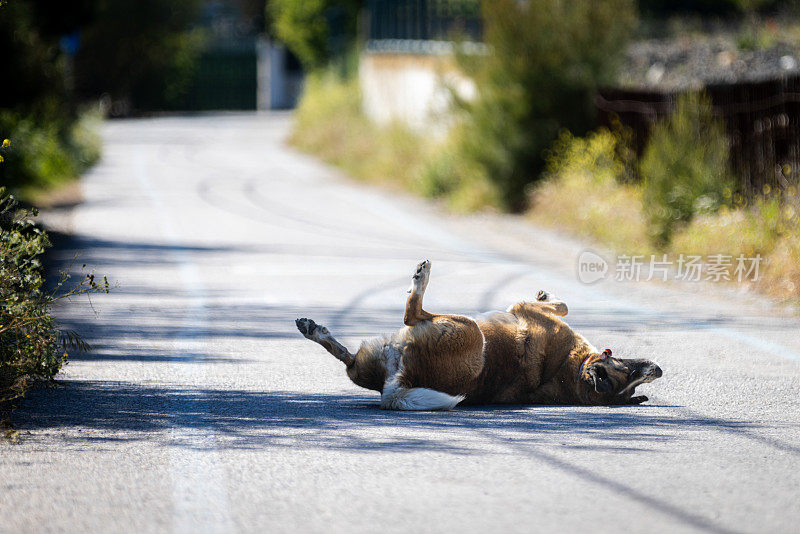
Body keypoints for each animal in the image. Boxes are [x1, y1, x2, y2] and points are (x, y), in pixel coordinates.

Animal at [296, 262, 664, 412]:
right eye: (628, 375)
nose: (658, 371)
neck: (570, 370)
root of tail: (403, 380)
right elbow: (562, 304)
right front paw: (545, 294)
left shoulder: (521, 308)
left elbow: (561, 305)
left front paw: (546, 296)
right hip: (370, 361)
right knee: (349, 359)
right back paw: (314, 330)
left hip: (464, 328)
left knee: (411, 312)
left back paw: (421, 277)